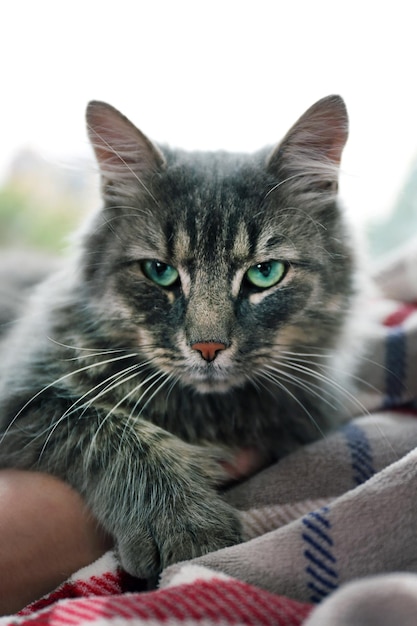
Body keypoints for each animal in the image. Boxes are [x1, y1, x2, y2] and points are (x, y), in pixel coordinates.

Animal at [0, 95, 354, 576]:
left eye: (265, 273)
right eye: (159, 271)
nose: (208, 347)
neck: (202, 411)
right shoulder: (27, 396)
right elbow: (115, 432)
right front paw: (185, 523)